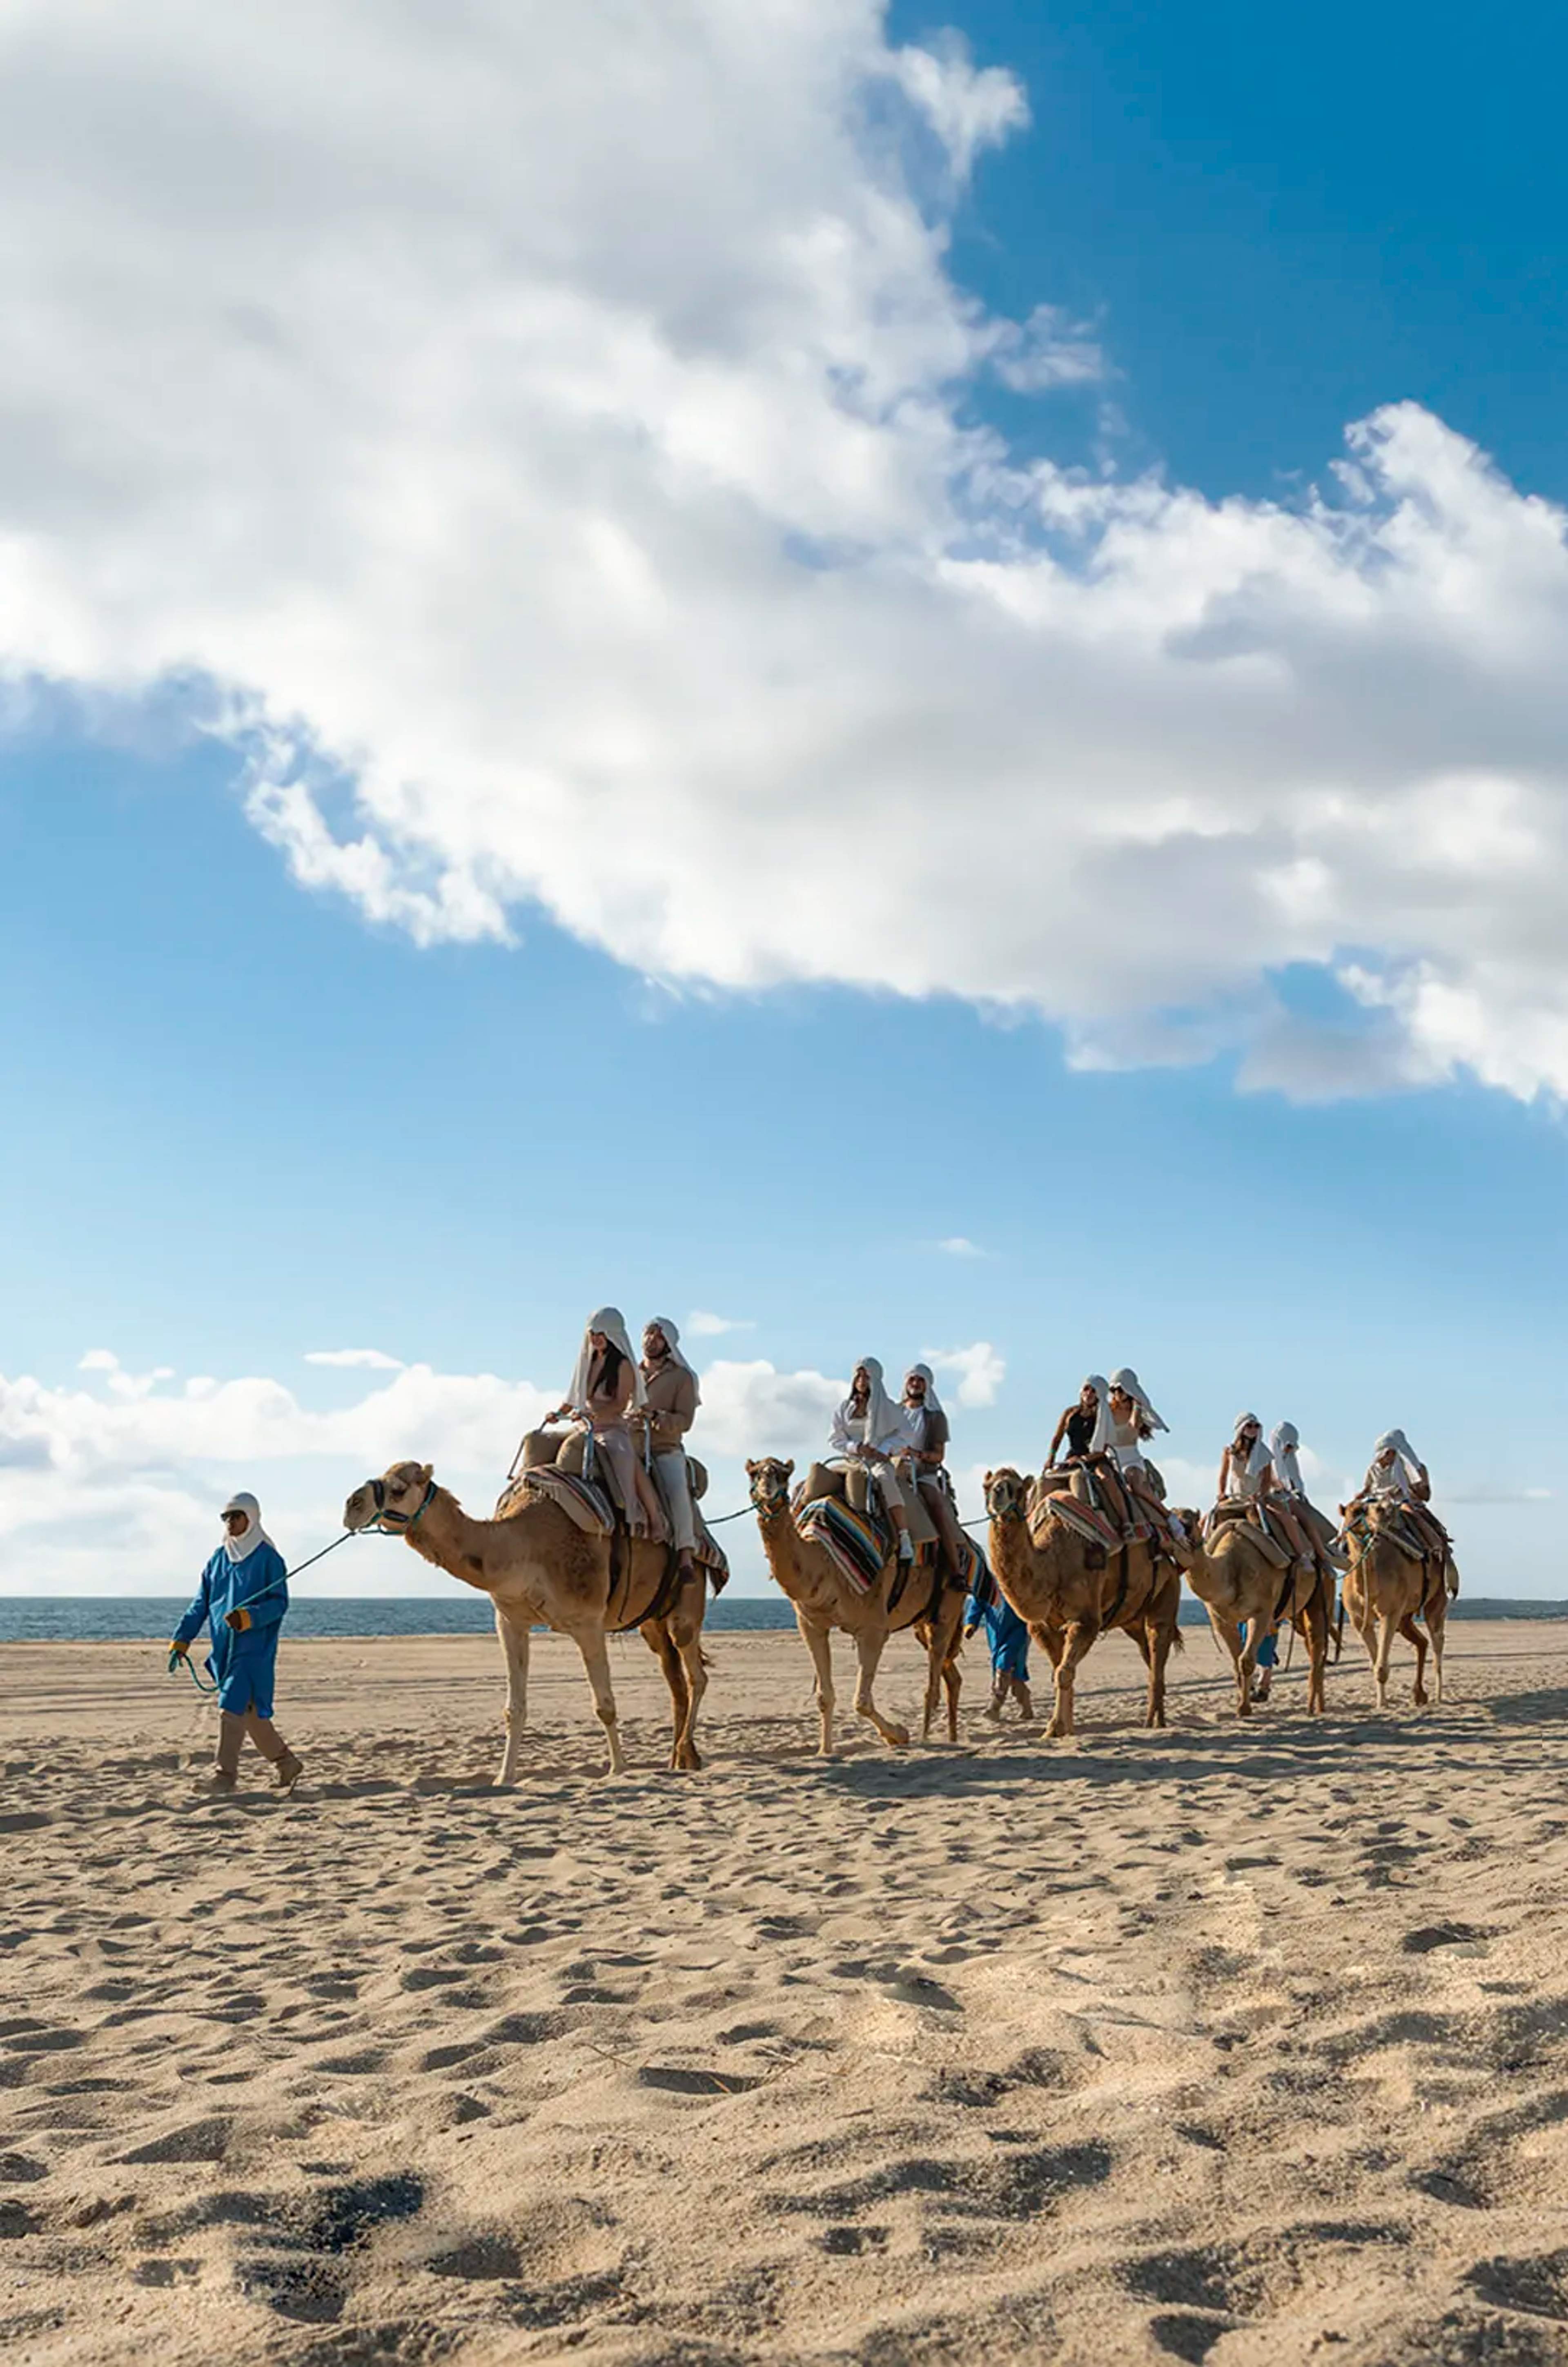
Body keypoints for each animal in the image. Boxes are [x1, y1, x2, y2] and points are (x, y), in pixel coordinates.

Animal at [342, 1461, 712, 1779]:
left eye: (399, 1489)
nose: (351, 1505)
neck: (524, 1546)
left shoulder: (588, 1621)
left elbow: (604, 1704)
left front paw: (618, 1770)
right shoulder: (510, 1620)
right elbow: (514, 1709)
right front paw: (503, 1777)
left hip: (687, 1604)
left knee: (696, 1675)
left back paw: (684, 1753)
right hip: (651, 1622)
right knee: (675, 1679)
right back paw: (679, 1759)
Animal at [745, 1458, 967, 1752]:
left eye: (783, 1475)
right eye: (754, 1473)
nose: (766, 1487)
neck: (825, 1560)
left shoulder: (873, 1628)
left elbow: (861, 1701)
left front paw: (898, 1734)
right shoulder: (811, 1624)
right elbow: (824, 1696)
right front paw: (824, 1751)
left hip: (947, 1608)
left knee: (933, 1683)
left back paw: (927, 1739)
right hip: (921, 1620)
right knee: (951, 1676)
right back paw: (952, 1737)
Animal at [982, 1469, 1183, 1738]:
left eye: (1018, 1489)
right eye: (987, 1486)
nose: (998, 1493)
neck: (1053, 1564)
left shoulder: (1086, 1620)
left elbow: (1064, 1672)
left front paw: (1055, 1728)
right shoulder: (1042, 1627)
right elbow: (1059, 1670)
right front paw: (1067, 1728)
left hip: (1167, 1591)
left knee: (1158, 1645)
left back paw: (1154, 1721)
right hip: (1133, 1619)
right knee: (1148, 1654)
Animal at [1182, 1511, 1331, 1717]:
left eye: (1190, 1523)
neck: (1232, 1567)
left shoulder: (1261, 1612)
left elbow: (1246, 1661)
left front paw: (1244, 1709)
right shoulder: (1221, 1619)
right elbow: (1236, 1663)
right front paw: (1243, 1703)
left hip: (1321, 1591)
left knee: (1317, 1641)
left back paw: (1312, 1707)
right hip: (1296, 1614)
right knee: (1311, 1643)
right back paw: (1319, 1705)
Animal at [1341, 1500, 1453, 1710]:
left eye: (1369, 1507)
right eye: (1356, 1511)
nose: (1384, 1511)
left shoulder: (1390, 1612)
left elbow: (1381, 1667)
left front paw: (1382, 1704)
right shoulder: (1358, 1620)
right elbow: (1375, 1664)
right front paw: (1381, 1703)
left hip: (1437, 1597)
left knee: (1438, 1641)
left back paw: (1438, 1697)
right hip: (1405, 1617)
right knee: (1422, 1642)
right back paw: (1419, 1694)